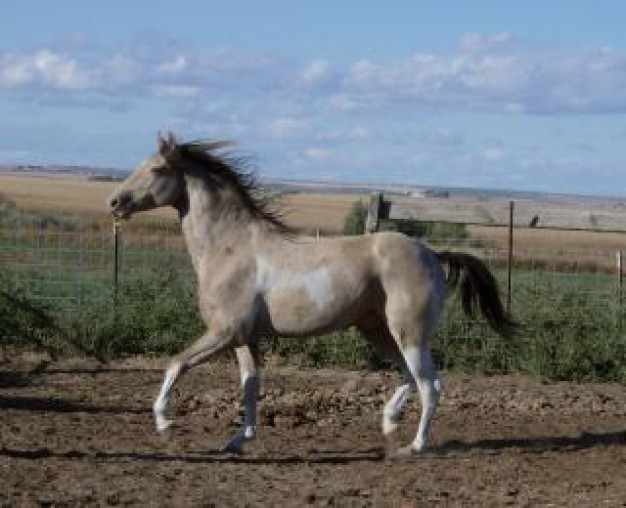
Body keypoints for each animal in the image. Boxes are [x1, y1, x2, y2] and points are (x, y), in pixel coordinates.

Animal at [107, 132, 512, 456]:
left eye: (157, 169)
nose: (114, 202)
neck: (230, 248)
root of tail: (432, 254)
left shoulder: (224, 331)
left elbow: (176, 363)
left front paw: (164, 421)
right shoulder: (245, 338)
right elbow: (250, 386)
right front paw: (238, 440)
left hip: (409, 333)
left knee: (430, 385)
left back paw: (414, 445)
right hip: (376, 330)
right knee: (410, 376)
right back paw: (388, 423)